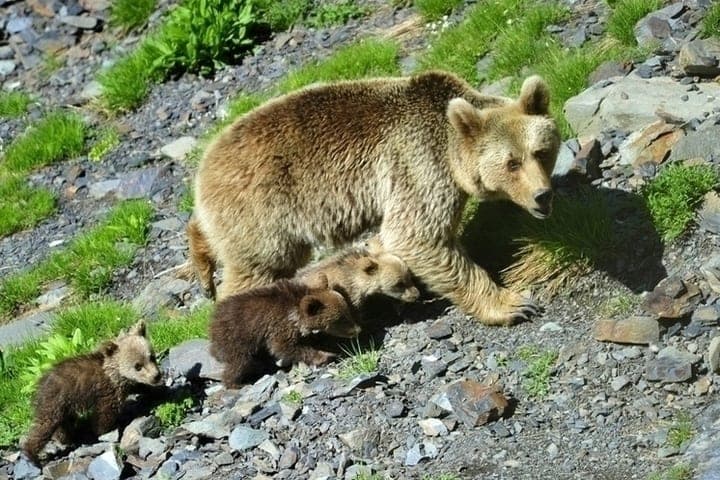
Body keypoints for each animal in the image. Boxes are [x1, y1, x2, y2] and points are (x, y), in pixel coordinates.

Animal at [22, 321, 162, 464]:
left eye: (151, 357)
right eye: (137, 366)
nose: (156, 376)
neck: (115, 374)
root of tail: (38, 385)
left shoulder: (126, 384)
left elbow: (140, 386)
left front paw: (158, 391)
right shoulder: (108, 391)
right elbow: (104, 415)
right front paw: (106, 429)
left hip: (64, 407)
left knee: (63, 425)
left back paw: (67, 438)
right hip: (55, 402)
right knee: (44, 426)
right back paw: (32, 454)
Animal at [190, 70, 560, 326]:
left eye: (541, 152)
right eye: (512, 163)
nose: (542, 195)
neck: (451, 152)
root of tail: (202, 170)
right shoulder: (418, 164)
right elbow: (416, 235)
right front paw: (512, 304)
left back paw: (202, 260)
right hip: (262, 212)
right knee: (260, 267)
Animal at [209, 274, 360, 388]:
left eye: (347, 312)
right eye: (341, 319)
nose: (358, 330)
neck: (295, 313)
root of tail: (213, 324)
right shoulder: (278, 325)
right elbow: (284, 347)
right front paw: (325, 355)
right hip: (236, 338)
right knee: (239, 362)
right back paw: (236, 383)